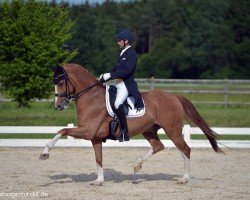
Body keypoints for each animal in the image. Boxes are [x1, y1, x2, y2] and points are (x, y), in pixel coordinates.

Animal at [40, 64, 224, 186]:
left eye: (61, 83)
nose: (58, 106)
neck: (91, 98)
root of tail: (174, 96)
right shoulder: (95, 138)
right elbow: (98, 158)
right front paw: (99, 180)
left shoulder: (87, 131)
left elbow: (63, 130)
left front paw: (44, 153)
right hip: (149, 130)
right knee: (158, 146)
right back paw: (137, 165)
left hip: (172, 130)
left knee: (185, 149)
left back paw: (183, 179)